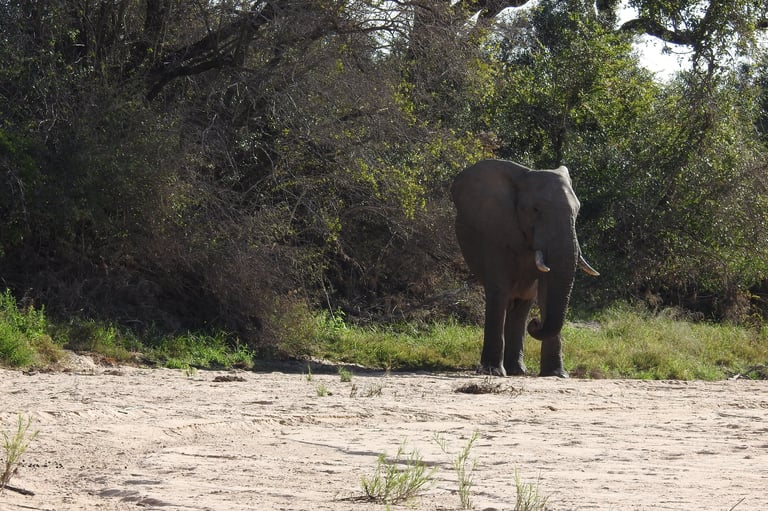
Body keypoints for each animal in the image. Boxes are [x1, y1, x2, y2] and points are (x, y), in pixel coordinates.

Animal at [451, 159, 599, 377]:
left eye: (577, 211)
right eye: (535, 210)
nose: (536, 323)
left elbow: (545, 292)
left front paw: (557, 374)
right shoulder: (494, 233)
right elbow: (499, 288)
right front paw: (493, 372)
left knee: (523, 302)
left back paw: (517, 370)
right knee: (506, 299)